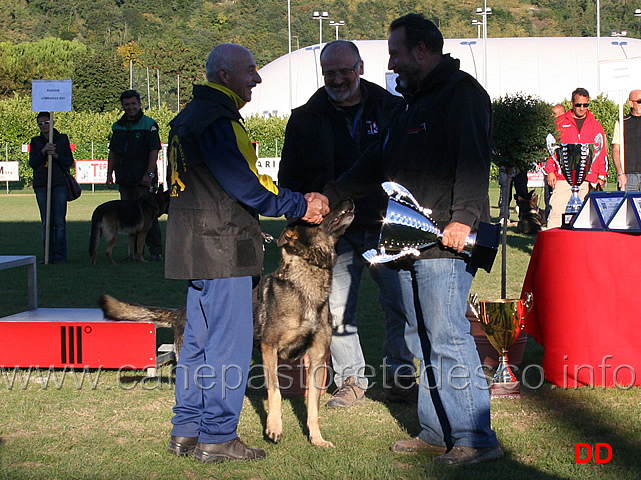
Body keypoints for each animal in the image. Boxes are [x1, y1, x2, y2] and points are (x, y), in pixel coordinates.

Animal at [100, 198, 356, 446]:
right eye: (323, 210)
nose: (349, 201)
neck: (306, 284)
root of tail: (181, 312)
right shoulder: (269, 348)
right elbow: (275, 390)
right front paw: (274, 427)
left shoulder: (317, 357)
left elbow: (313, 407)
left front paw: (317, 439)